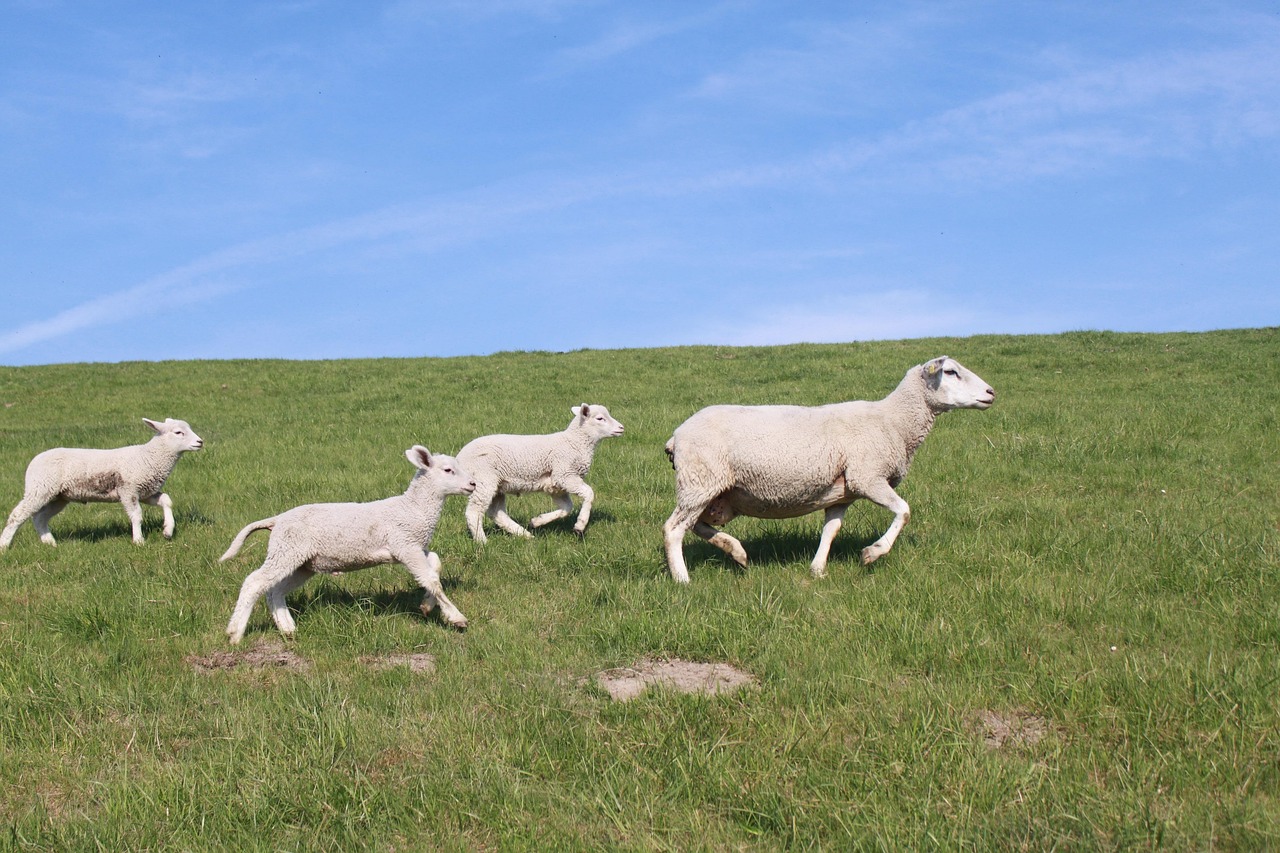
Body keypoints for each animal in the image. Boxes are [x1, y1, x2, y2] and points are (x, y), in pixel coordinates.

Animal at [0, 418, 204, 550]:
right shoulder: (128, 489)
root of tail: (33, 461)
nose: (200, 442)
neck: (148, 457)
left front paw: (168, 530)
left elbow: (166, 500)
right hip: (39, 488)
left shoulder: (146, 491)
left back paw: (50, 543)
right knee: (18, 515)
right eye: (178, 432)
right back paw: (4, 545)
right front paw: (138, 540)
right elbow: (137, 516)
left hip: (58, 496)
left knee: (40, 518)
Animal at [222, 445, 476, 644]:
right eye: (448, 470)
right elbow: (431, 579)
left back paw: (288, 629)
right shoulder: (405, 545)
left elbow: (436, 564)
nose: (473, 484)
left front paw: (426, 605)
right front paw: (456, 617)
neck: (412, 508)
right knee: (254, 582)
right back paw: (235, 633)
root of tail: (277, 520)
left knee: (275, 590)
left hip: (301, 562)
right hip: (287, 549)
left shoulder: (415, 545)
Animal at [456, 404, 625, 543]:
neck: (574, 443)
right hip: (483, 480)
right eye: (600, 418)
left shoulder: (556, 485)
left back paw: (524, 534)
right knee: (474, 512)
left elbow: (566, 508)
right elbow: (589, 493)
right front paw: (580, 525)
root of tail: (459, 459)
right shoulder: (564, 474)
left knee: (497, 513)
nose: (621, 427)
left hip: (497, 485)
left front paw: (537, 521)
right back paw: (482, 542)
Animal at [662, 356, 995, 583]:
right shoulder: (867, 477)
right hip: (700, 481)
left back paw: (736, 552)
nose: (991, 392)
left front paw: (817, 569)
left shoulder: (843, 493)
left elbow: (831, 530)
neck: (894, 421)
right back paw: (683, 579)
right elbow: (904, 511)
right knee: (673, 529)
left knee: (696, 525)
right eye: (950, 372)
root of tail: (676, 436)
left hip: (716, 494)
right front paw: (872, 553)